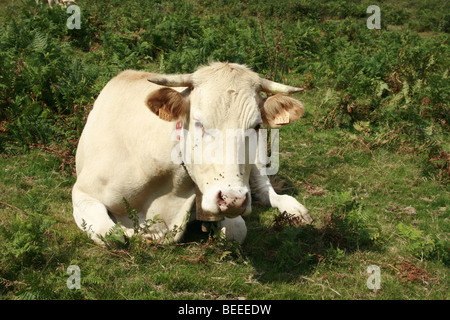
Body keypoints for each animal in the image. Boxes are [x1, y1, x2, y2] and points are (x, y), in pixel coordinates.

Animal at [73, 61, 312, 244]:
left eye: (256, 125)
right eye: (199, 123)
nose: (233, 200)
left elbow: (236, 231)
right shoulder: (83, 191)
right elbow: (110, 234)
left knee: (266, 190)